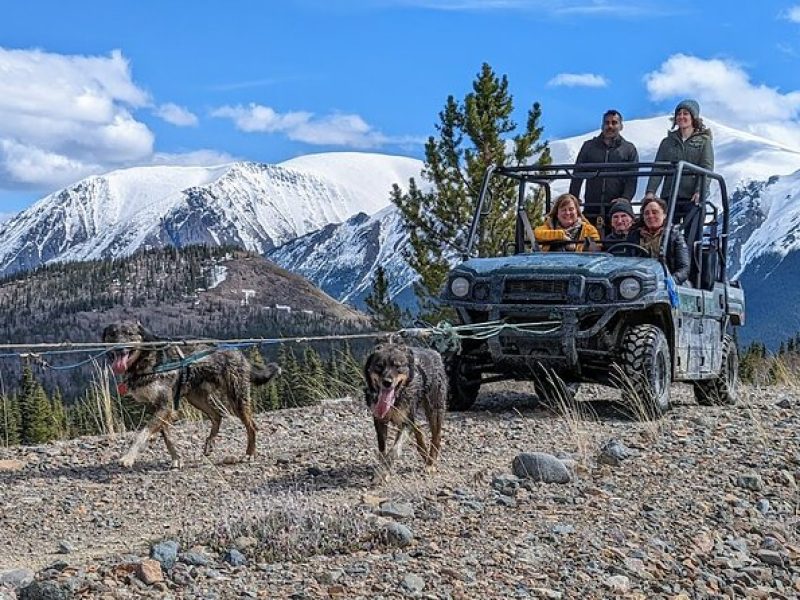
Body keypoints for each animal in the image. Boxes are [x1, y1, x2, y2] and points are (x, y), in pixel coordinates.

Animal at [102, 322, 282, 472]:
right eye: (112, 334)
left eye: (129, 333)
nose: (118, 348)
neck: (145, 361)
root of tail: (238, 352)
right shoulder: (156, 407)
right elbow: (166, 437)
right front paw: (176, 459)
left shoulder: (165, 406)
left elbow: (142, 434)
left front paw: (128, 457)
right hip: (196, 398)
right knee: (217, 415)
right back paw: (210, 442)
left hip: (236, 398)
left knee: (251, 426)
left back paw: (250, 453)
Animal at [364, 342, 446, 478]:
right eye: (379, 365)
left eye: (398, 366)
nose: (387, 382)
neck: (395, 400)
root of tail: (434, 352)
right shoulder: (380, 420)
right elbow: (382, 449)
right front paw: (382, 470)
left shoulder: (405, 422)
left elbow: (394, 451)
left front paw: (384, 472)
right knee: (419, 431)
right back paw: (424, 455)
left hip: (434, 408)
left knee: (436, 436)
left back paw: (430, 463)